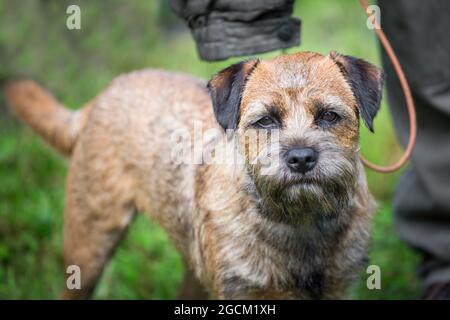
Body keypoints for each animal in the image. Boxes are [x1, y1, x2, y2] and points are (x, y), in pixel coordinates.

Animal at [5, 51, 382, 298]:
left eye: (330, 115)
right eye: (265, 121)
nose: (301, 158)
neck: (299, 221)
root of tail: (102, 97)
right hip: (87, 246)